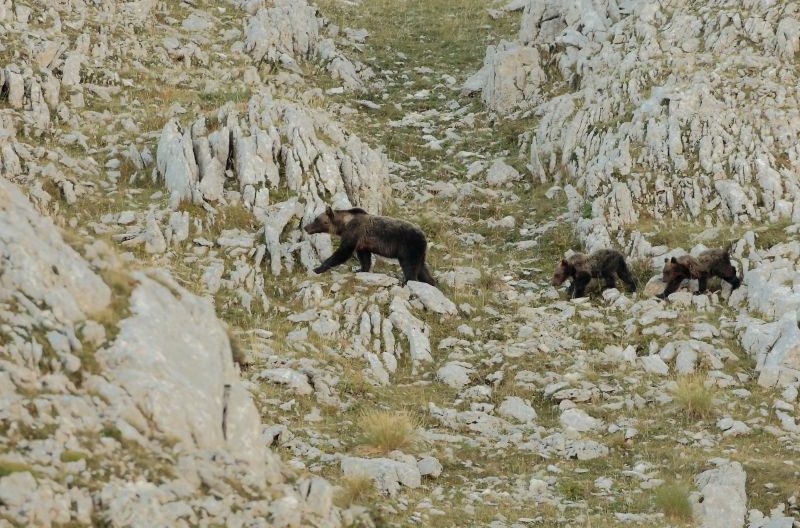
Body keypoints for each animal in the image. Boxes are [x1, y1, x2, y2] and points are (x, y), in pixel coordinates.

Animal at [303, 206, 436, 285]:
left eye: (316, 219)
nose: (305, 227)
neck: (344, 224)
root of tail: (424, 236)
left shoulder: (354, 232)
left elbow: (343, 252)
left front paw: (318, 268)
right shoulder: (362, 242)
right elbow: (364, 257)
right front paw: (360, 269)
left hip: (408, 247)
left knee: (410, 268)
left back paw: (407, 282)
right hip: (420, 253)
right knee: (422, 269)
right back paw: (431, 282)